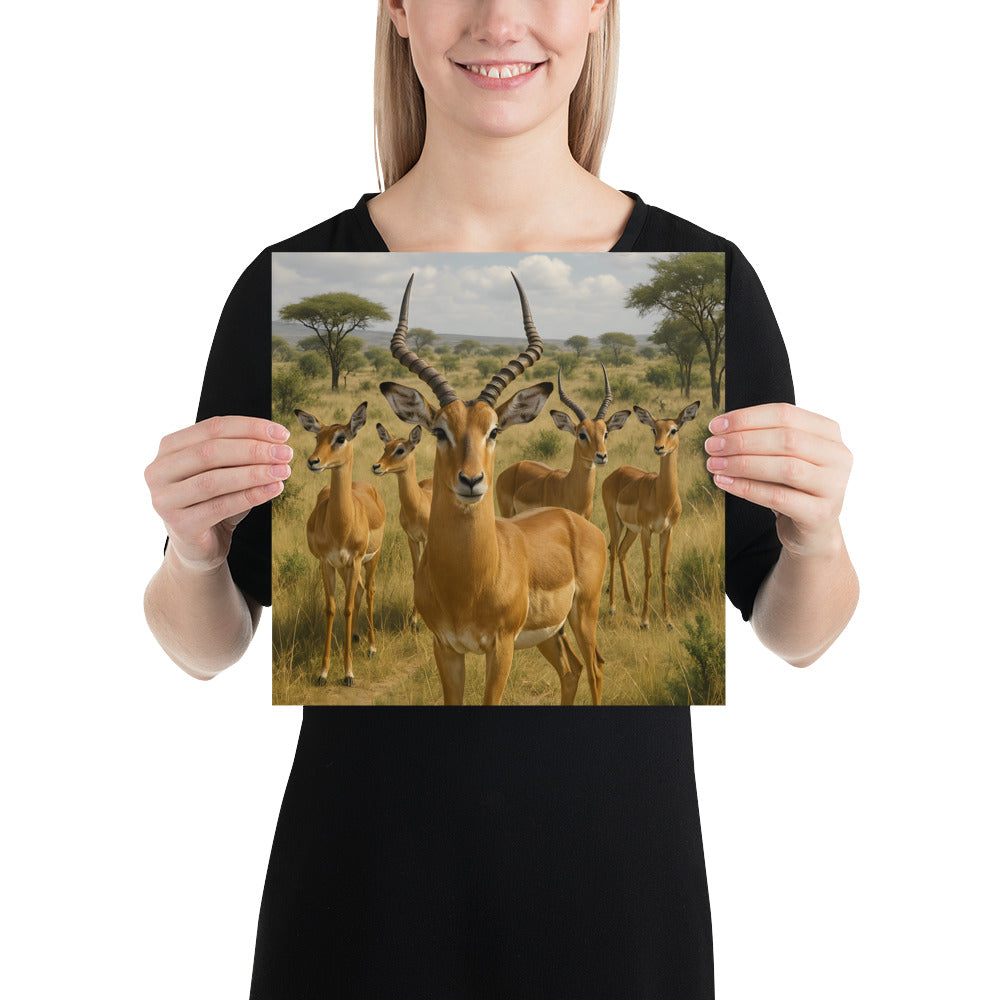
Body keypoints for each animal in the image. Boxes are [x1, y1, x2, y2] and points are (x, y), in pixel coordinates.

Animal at [294, 402, 387, 686]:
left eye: (341, 437)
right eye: (317, 437)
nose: (313, 461)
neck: (340, 525)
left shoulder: (355, 560)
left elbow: (346, 608)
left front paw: (348, 673)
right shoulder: (327, 563)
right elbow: (331, 609)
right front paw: (323, 673)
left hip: (371, 560)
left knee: (369, 591)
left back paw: (371, 647)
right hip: (346, 568)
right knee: (358, 591)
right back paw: (355, 637)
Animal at [371, 421, 433, 628]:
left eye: (400, 449)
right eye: (385, 447)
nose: (377, 466)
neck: (418, 504)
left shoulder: (427, 539)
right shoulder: (412, 538)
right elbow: (416, 574)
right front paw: (414, 618)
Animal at [380, 273, 607, 706]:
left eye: (495, 430)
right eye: (440, 431)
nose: (471, 480)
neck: (468, 582)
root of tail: (576, 522)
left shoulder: (500, 648)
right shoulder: (446, 648)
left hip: (584, 615)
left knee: (596, 669)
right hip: (550, 633)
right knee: (571, 670)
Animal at [601, 401, 701, 630]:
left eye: (674, 429)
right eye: (654, 429)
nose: (659, 448)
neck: (662, 497)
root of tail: (614, 473)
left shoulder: (667, 531)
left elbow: (663, 570)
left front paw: (668, 621)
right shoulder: (648, 531)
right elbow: (648, 570)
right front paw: (645, 621)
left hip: (631, 530)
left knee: (621, 552)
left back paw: (630, 605)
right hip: (616, 521)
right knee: (612, 552)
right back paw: (612, 608)